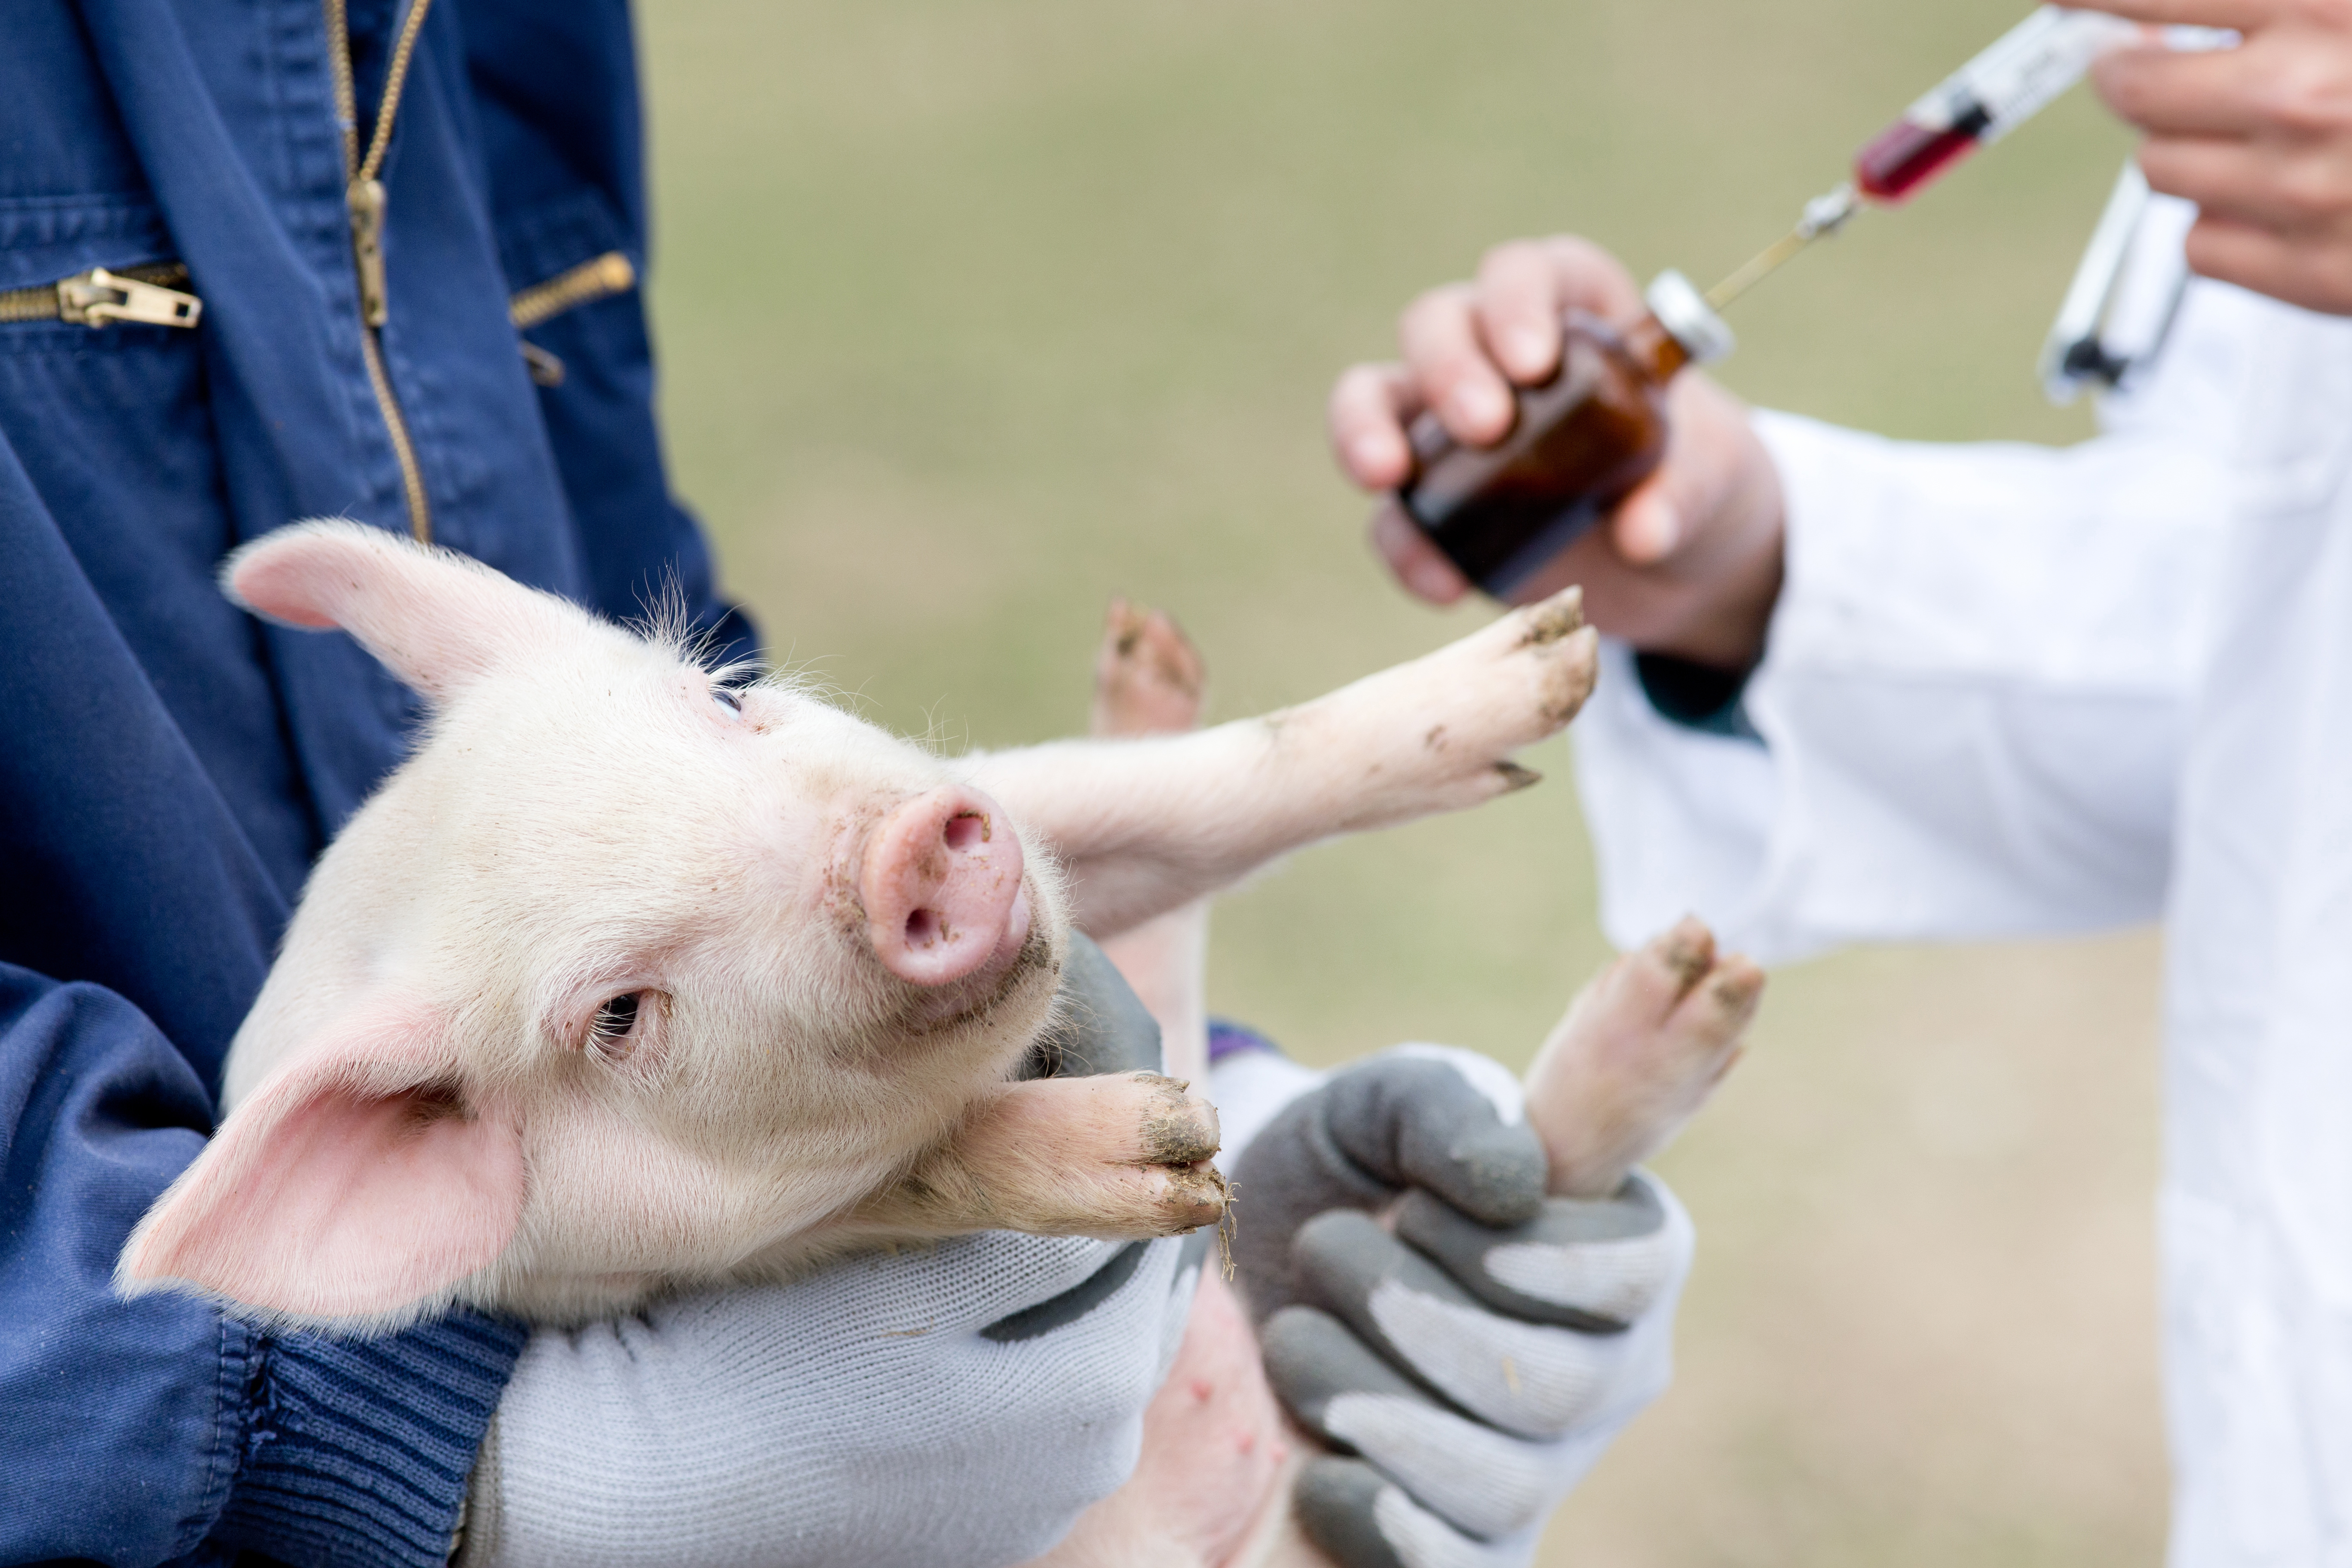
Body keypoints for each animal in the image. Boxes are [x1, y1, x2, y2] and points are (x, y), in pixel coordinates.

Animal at [117, 520, 1603, 1334]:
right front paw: (1165, 1149)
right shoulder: (659, 1262)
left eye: (725, 703)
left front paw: (1555, 660)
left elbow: (1175, 800)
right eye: (618, 1016)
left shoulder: (1008, 799)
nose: (903, 858)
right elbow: (920, 1173)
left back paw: (1154, 662)